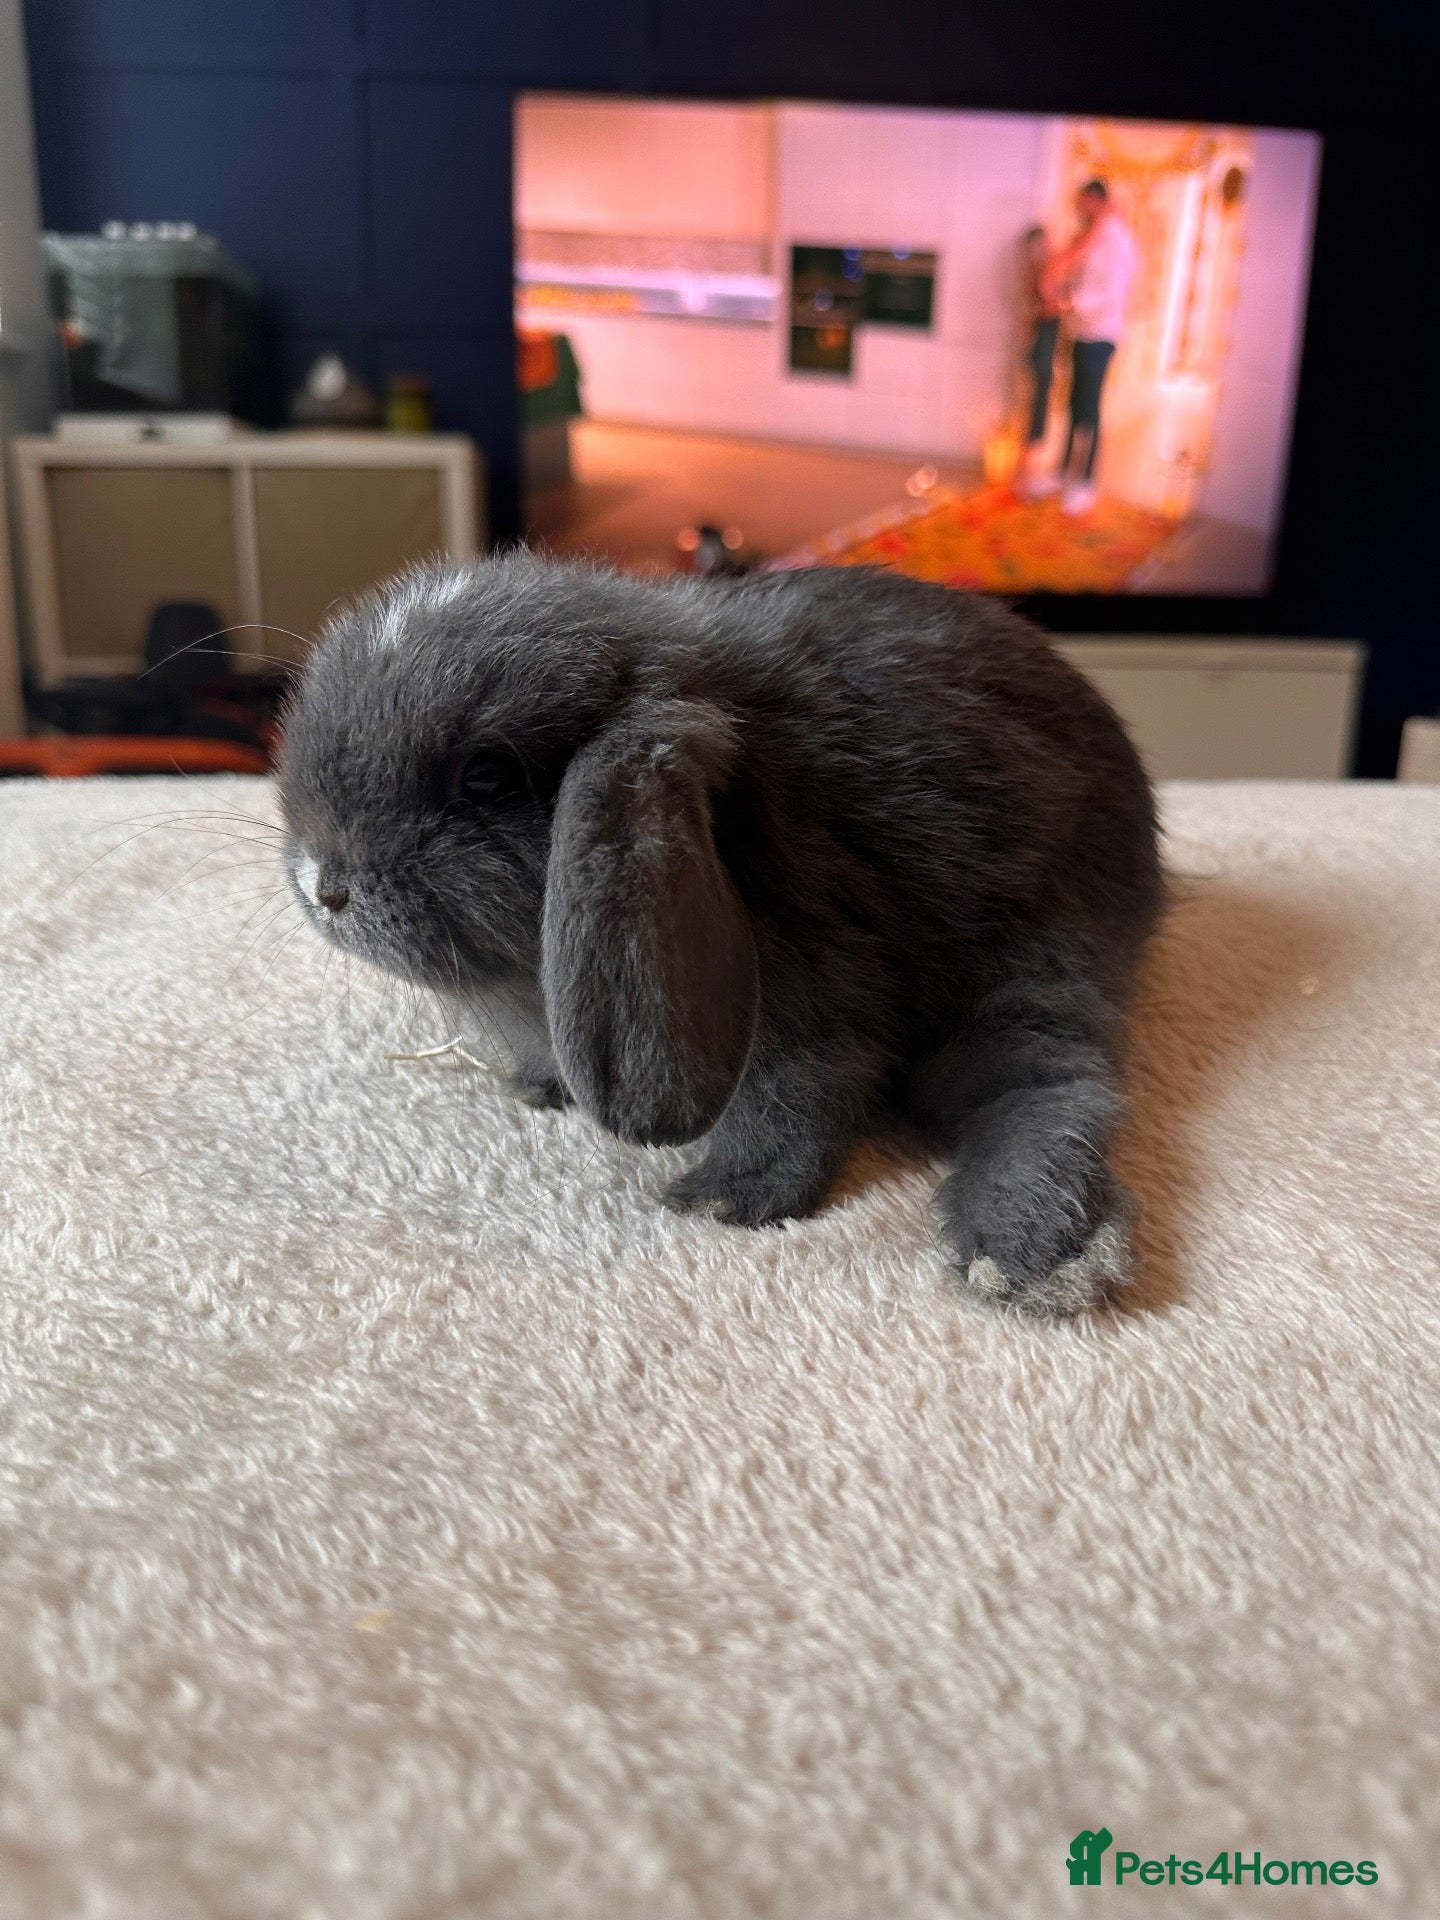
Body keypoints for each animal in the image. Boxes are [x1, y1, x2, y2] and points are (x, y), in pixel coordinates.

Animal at [277, 552, 1162, 1316]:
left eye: (487, 778)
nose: (324, 886)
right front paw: (537, 1087)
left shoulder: (811, 984)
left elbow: (800, 1095)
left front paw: (723, 1201)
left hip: (1034, 954)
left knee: (1054, 1089)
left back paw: (1028, 1262)